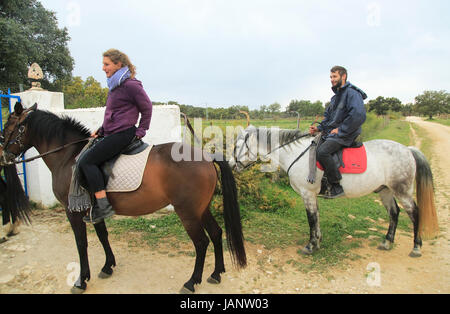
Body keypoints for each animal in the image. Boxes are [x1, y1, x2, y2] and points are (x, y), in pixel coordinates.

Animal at [0, 103, 246, 294]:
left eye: (8, 126)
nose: (3, 156)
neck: (69, 157)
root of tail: (206, 157)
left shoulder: (73, 212)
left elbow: (81, 243)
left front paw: (82, 280)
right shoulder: (94, 211)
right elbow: (103, 236)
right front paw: (107, 266)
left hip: (187, 212)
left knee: (201, 242)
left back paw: (191, 282)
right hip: (200, 209)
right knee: (216, 233)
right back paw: (216, 273)